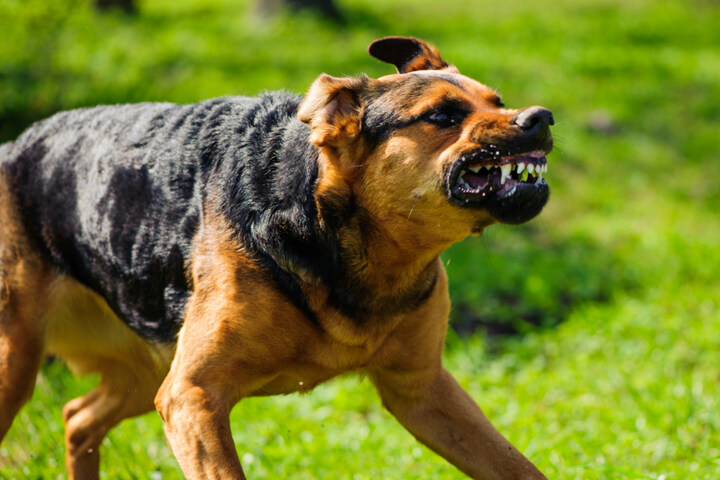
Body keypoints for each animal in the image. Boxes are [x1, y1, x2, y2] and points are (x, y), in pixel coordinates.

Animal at [0, 38, 556, 480]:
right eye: (443, 116)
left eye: (498, 102)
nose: (540, 118)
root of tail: (13, 146)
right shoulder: (192, 397)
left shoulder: (423, 391)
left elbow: (516, 467)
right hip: (21, 362)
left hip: (143, 369)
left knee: (77, 417)